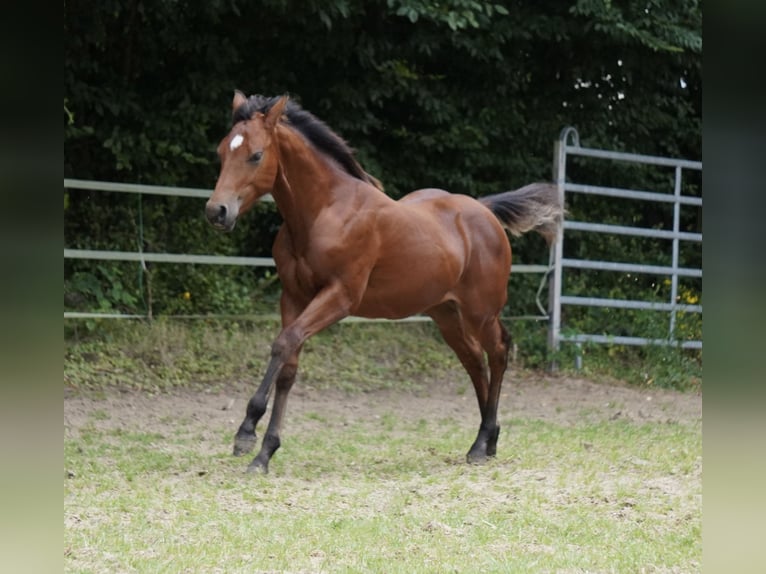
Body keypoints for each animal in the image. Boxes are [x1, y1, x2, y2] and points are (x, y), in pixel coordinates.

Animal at [204, 92, 564, 474]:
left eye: (256, 155)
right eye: (222, 151)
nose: (217, 212)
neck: (325, 211)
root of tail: (485, 211)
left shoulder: (340, 297)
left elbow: (284, 343)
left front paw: (246, 433)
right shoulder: (293, 297)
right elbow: (288, 362)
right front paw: (265, 451)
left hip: (481, 312)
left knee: (497, 352)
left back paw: (484, 443)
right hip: (446, 315)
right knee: (474, 361)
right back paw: (485, 440)